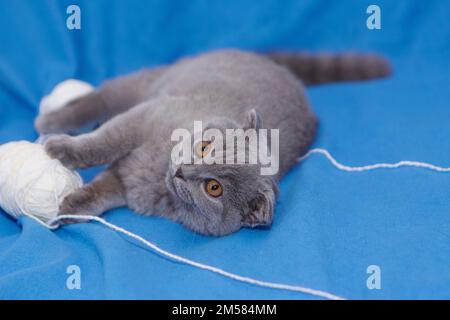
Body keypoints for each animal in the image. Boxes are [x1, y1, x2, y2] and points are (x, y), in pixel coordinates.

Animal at [35, 49, 388, 235]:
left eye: (213, 188)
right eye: (204, 146)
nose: (182, 170)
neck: (158, 177)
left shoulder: (130, 183)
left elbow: (104, 193)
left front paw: (69, 210)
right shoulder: (145, 116)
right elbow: (105, 141)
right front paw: (61, 149)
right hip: (148, 84)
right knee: (102, 97)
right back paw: (51, 122)